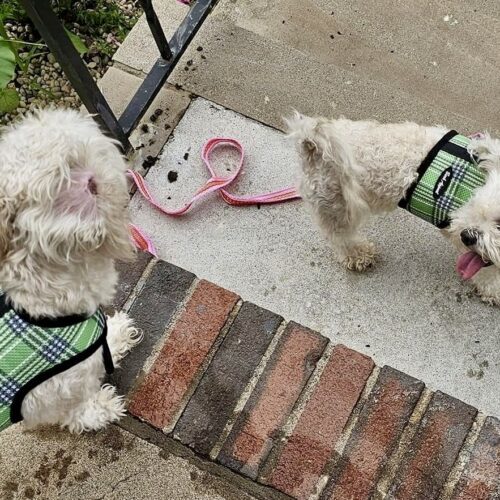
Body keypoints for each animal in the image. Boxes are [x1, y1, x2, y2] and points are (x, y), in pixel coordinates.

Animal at [288, 114, 500, 306]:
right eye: (474, 206)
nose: (467, 236)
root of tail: (310, 142)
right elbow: (487, 269)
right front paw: (493, 291)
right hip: (335, 205)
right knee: (341, 237)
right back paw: (359, 255)